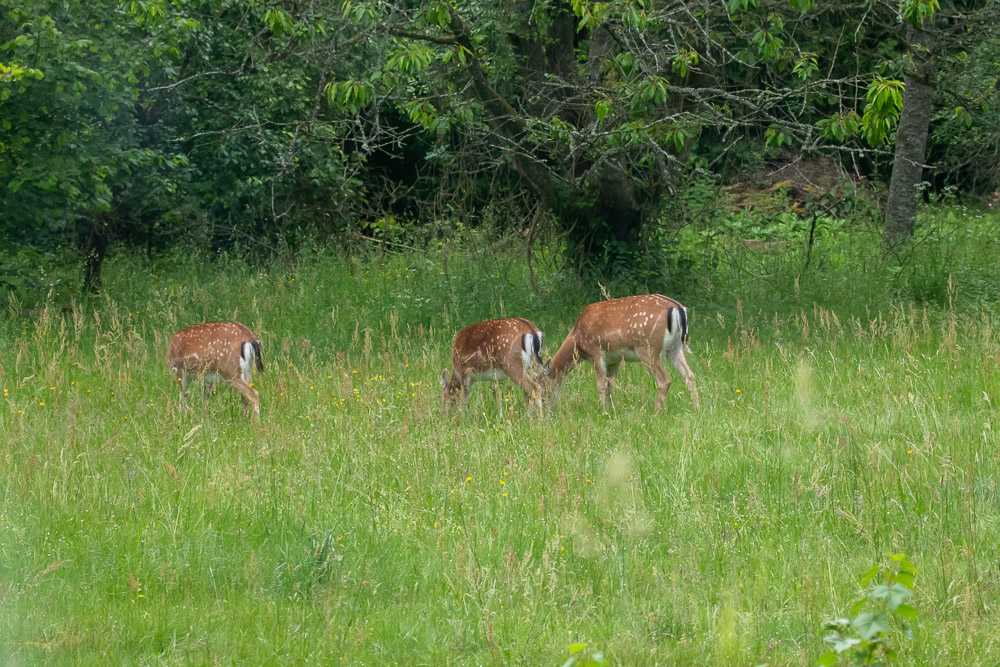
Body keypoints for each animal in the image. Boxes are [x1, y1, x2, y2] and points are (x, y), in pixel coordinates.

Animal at [544, 294, 700, 410]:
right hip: (675, 349)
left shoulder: (596, 352)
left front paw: (602, 411)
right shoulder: (614, 359)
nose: (545, 408)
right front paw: (611, 408)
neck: (577, 339)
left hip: (648, 348)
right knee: (689, 375)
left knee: (664, 380)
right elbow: (610, 385)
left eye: (541, 384)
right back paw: (696, 408)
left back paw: (656, 412)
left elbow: (601, 385)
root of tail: (678, 309)